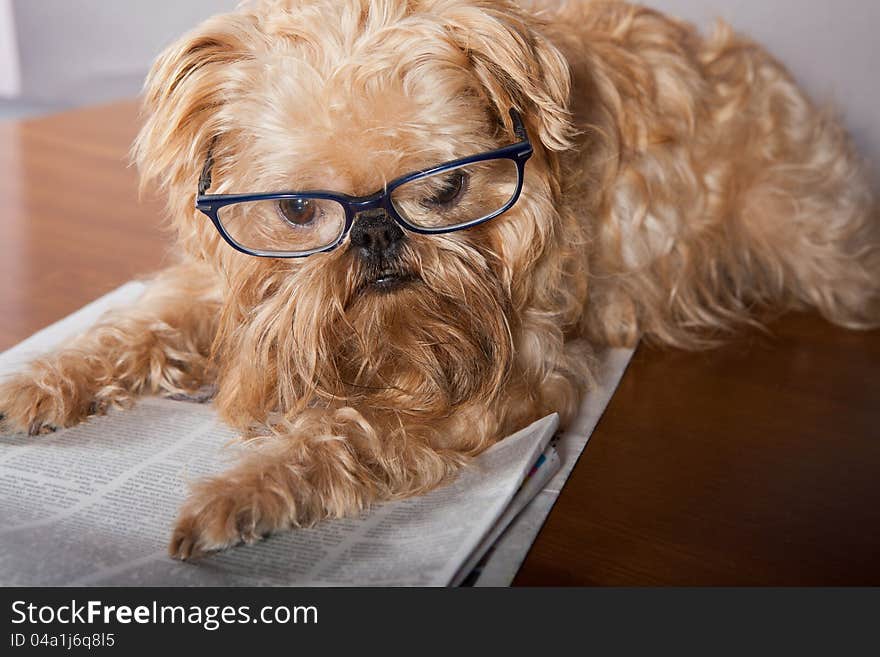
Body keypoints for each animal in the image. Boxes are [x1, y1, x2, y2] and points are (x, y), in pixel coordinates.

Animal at [1, 1, 880, 560]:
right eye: (299, 209)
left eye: (448, 187)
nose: (378, 231)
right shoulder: (232, 292)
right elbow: (135, 324)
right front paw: (35, 382)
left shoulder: (516, 377)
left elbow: (351, 426)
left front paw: (244, 490)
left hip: (807, 235)